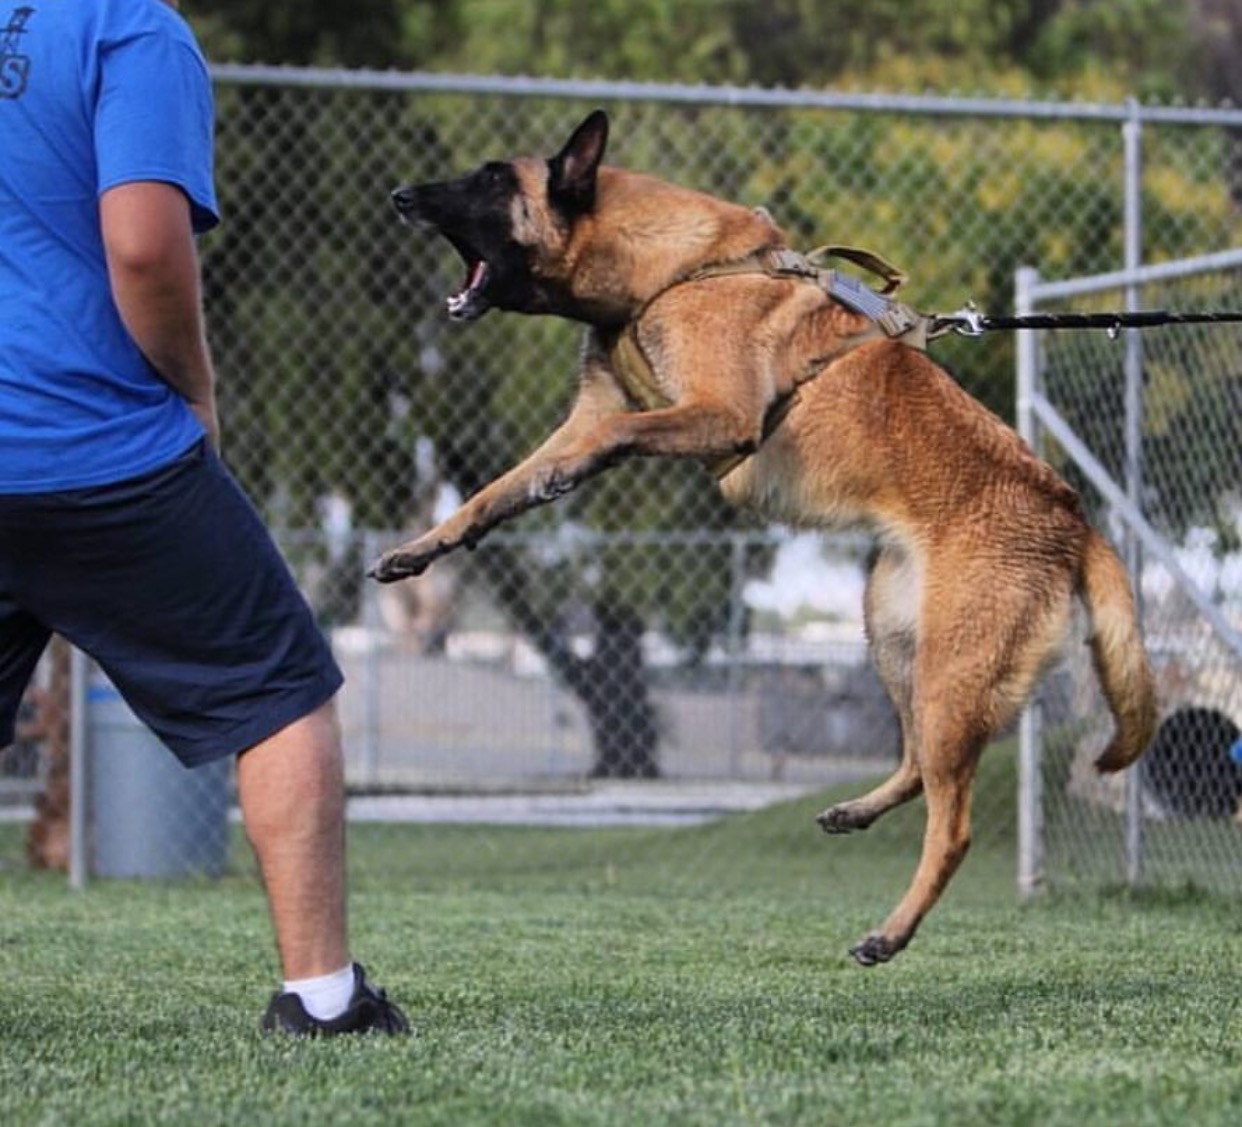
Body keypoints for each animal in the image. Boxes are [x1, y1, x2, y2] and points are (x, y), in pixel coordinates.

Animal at [372, 109, 1157, 964]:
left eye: (489, 181)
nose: (400, 195)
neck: (672, 270)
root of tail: (1073, 516)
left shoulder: (720, 414)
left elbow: (609, 435)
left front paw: (565, 475)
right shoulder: (594, 412)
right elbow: (492, 490)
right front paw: (425, 545)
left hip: (952, 671)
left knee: (952, 825)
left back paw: (891, 931)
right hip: (897, 636)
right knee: (919, 762)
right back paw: (857, 811)